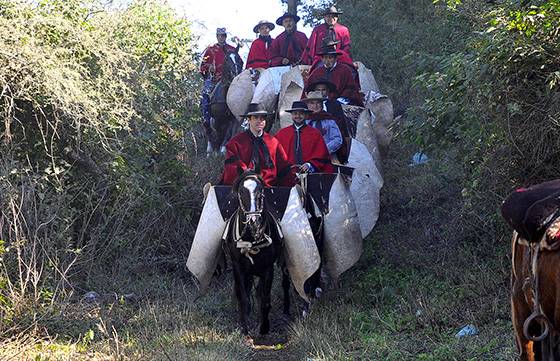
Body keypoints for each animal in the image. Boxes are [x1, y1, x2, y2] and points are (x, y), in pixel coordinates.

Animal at [223, 170, 288, 334]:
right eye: (241, 192)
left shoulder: (268, 269)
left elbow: (265, 299)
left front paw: (263, 328)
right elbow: (243, 298)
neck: (251, 239)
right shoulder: (238, 267)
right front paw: (244, 329)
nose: (253, 222)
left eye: (261, 192)